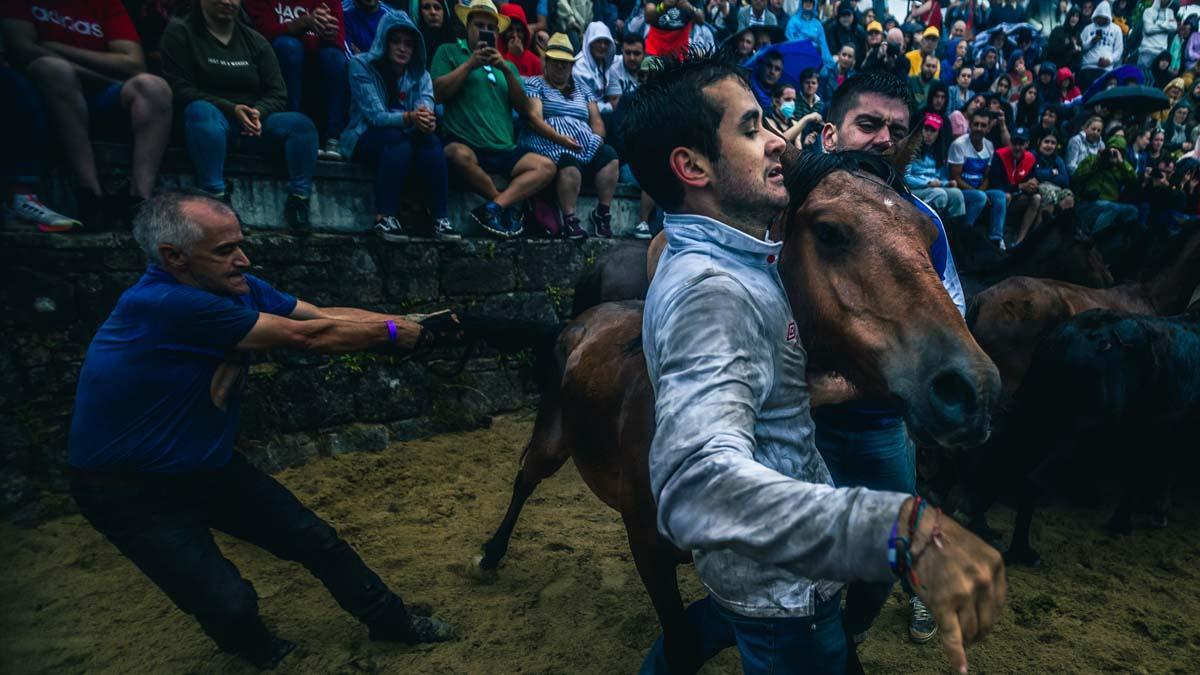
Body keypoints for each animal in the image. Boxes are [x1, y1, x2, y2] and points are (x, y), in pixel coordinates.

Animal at [468, 148, 1003, 672]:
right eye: (830, 232)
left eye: (930, 236)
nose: (973, 388)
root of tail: (580, 322)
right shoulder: (648, 551)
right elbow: (682, 641)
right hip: (552, 439)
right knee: (524, 479)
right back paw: (491, 553)